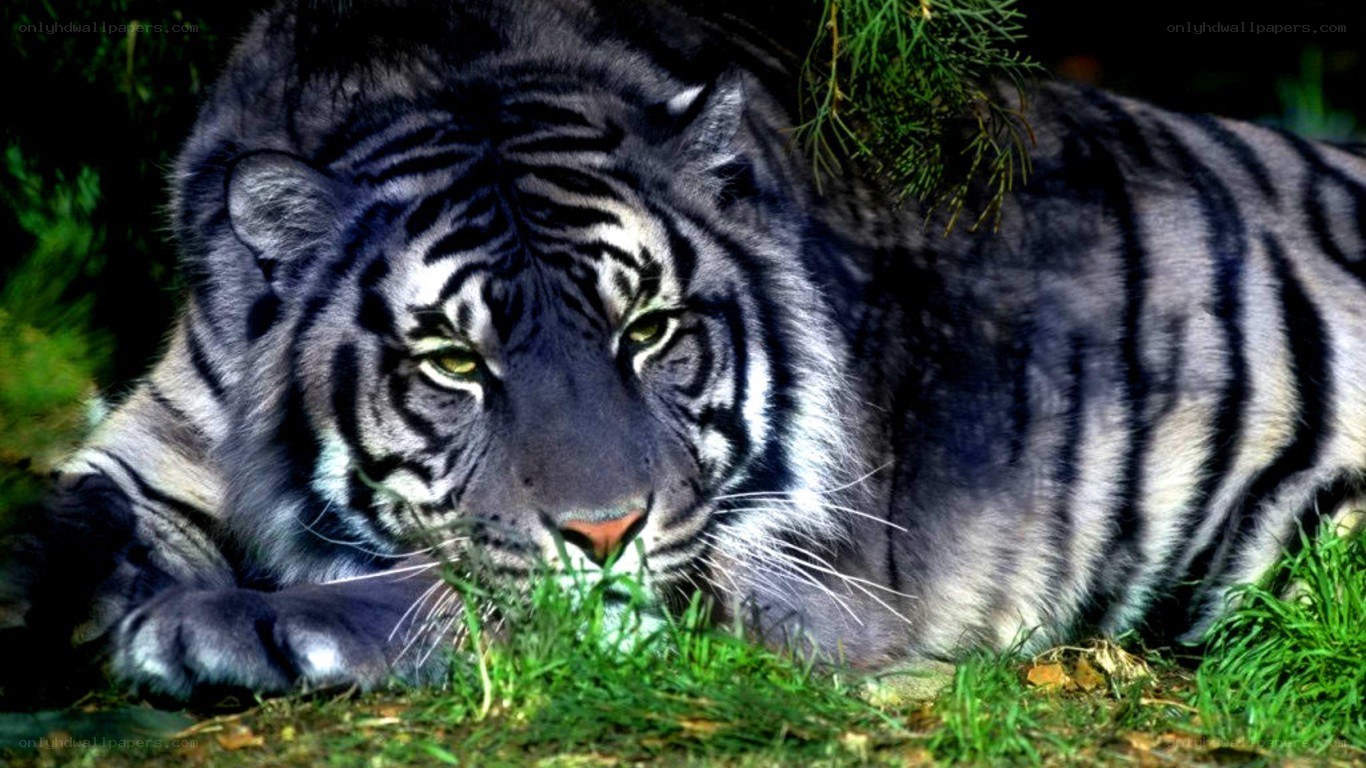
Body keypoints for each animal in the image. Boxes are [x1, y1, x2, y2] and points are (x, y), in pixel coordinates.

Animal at [3, 0, 1365, 702]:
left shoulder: (784, 567)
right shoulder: (152, 449)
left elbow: (466, 592)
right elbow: (60, 523)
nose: (605, 529)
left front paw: (212, 627)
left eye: (648, 330)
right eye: (453, 362)